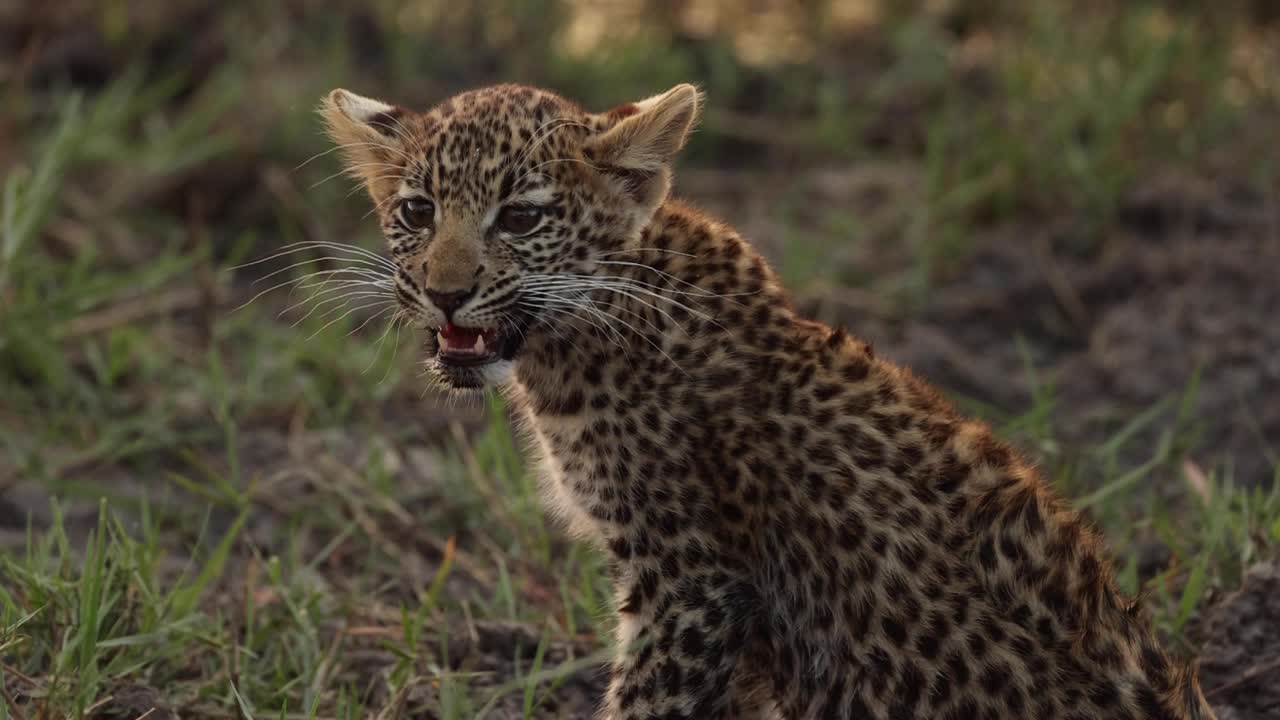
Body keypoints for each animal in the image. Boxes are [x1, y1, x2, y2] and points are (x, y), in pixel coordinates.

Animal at [319, 82, 1217, 720]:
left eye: (520, 217)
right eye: (417, 211)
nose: (445, 294)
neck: (576, 344)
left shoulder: (690, 579)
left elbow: (648, 705)